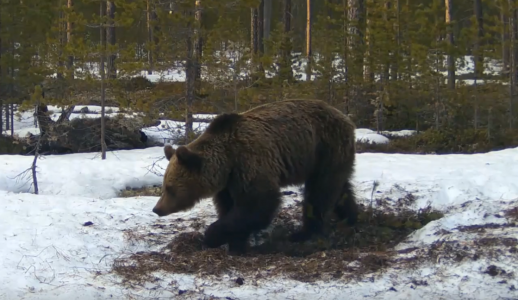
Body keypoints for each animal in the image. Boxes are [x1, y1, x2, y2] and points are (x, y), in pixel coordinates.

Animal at [152, 99, 360, 254]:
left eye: (169, 188)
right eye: (164, 186)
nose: (157, 209)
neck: (227, 161)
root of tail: (346, 118)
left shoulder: (251, 163)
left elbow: (258, 205)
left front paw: (211, 236)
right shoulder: (229, 183)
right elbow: (231, 209)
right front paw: (236, 243)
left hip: (325, 147)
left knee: (320, 191)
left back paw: (304, 233)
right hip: (330, 155)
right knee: (340, 188)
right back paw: (350, 218)